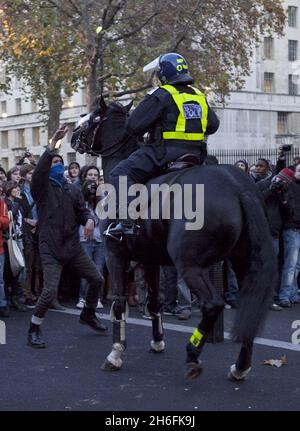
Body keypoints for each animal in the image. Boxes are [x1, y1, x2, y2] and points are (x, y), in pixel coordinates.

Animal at [71, 98, 278, 382]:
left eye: (93, 118)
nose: (72, 135)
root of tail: (239, 188)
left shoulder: (117, 254)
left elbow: (119, 304)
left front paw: (116, 353)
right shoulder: (149, 258)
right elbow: (154, 301)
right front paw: (157, 342)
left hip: (189, 264)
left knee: (213, 304)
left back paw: (193, 355)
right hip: (243, 261)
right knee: (251, 306)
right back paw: (240, 366)